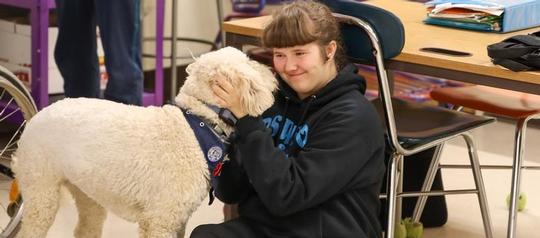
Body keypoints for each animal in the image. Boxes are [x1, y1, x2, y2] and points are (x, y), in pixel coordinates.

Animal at [12, 47, 276, 238]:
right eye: (248, 60)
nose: (272, 71)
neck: (197, 125)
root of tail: (37, 115)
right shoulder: (160, 221)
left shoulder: (177, 220)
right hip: (41, 193)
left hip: (88, 192)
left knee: (86, 228)